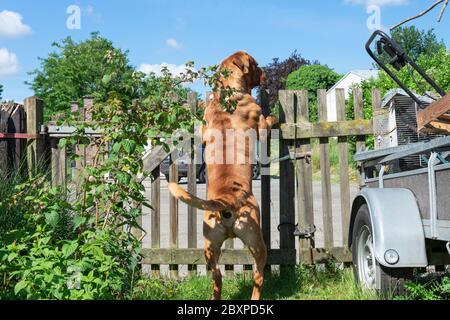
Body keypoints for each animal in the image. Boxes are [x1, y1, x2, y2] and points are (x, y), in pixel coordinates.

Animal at [167, 50, 276, 300]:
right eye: (255, 64)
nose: (264, 72)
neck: (226, 91)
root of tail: (225, 202)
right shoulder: (260, 125)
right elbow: (268, 122)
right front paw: (276, 117)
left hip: (210, 245)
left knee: (216, 276)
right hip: (257, 242)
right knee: (258, 275)